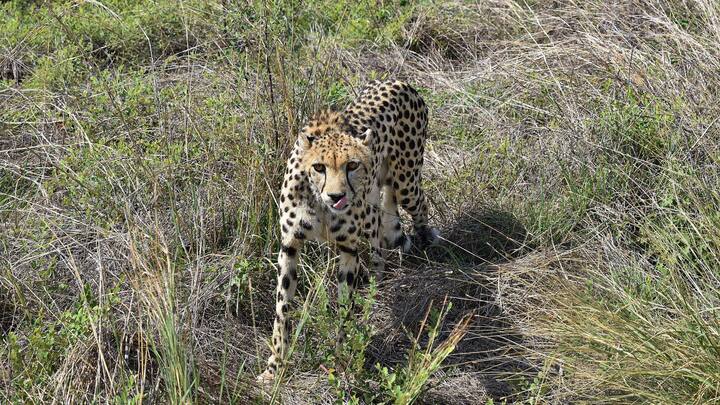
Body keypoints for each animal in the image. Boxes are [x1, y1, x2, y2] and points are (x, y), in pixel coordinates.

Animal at [258, 80, 438, 380]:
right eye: (319, 167)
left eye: (352, 165)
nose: (336, 196)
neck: (320, 204)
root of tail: (398, 82)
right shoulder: (290, 245)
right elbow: (282, 309)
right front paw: (274, 366)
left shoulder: (348, 249)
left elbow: (344, 308)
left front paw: (342, 358)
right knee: (382, 232)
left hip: (406, 183)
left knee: (418, 207)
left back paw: (421, 248)